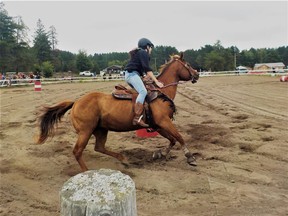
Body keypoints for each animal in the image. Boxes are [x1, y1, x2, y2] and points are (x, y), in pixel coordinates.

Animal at [36, 52, 200, 172]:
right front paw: (190, 157)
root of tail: (76, 102)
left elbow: (172, 140)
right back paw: (87, 172)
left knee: (99, 147)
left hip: (101, 129)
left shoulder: (158, 125)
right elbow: (179, 137)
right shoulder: (164, 122)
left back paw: (123, 159)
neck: (161, 91)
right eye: (188, 65)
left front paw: (160, 154)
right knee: (77, 151)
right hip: (85, 131)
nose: (197, 74)